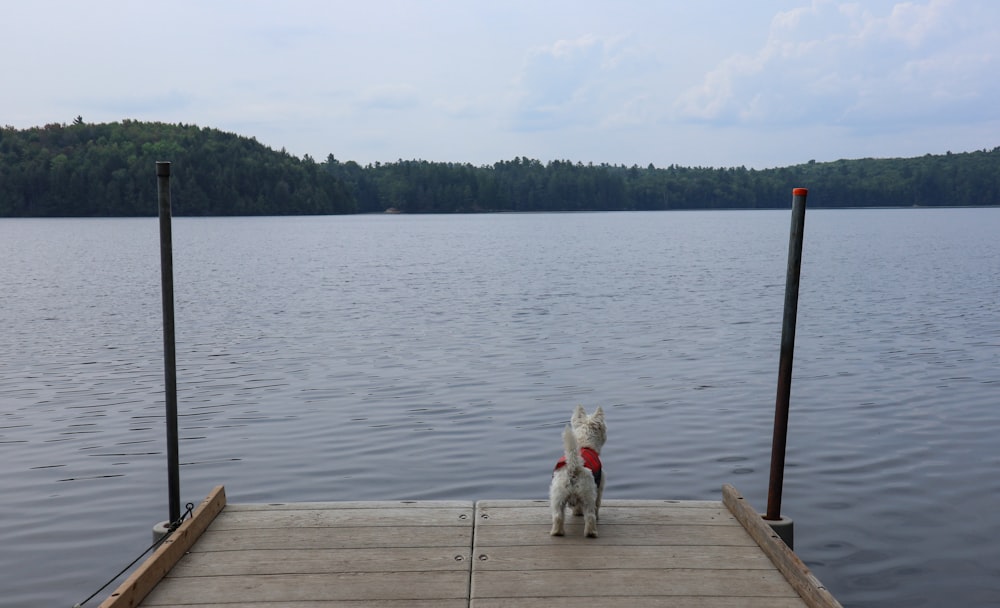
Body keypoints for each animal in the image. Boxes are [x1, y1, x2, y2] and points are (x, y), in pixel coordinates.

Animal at [552, 404, 604, 536]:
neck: (584, 445)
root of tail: (573, 467)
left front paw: (577, 512)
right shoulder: (600, 485)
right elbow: (598, 503)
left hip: (558, 495)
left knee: (558, 516)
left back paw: (557, 532)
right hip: (588, 494)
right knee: (590, 516)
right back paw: (591, 533)